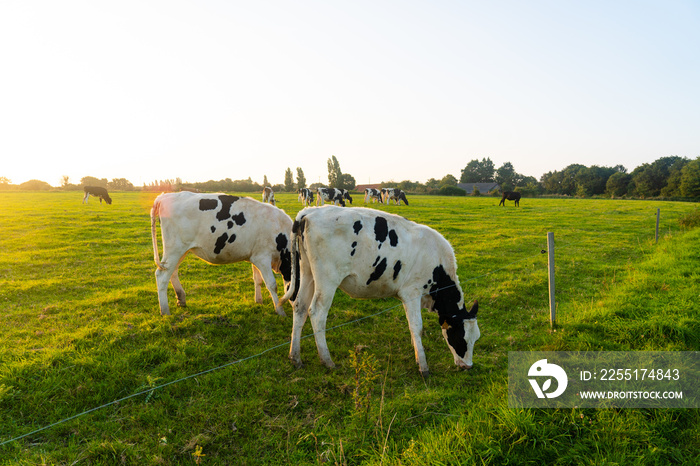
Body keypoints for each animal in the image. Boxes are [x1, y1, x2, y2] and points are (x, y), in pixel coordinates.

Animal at [150, 192, 292, 316]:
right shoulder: (263, 258)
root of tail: (164, 196)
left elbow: (258, 280)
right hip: (175, 248)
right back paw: (165, 311)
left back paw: (181, 298)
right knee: (161, 275)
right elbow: (272, 284)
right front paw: (280, 310)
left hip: (181, 250)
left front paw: (259, 301)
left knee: (172, 272)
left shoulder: (255, 256)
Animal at [280, 208, 482, 374]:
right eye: (461, 338)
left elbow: (412, 327)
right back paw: (327, 360)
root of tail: (309, 212)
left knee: (300, 307)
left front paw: (416, 351)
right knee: (317, 313)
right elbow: (417, 326)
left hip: (307, 272)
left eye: (476, 339)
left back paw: (295, 357)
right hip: (327, 279)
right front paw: (423, 366)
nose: (468, 366)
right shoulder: (412, 292)